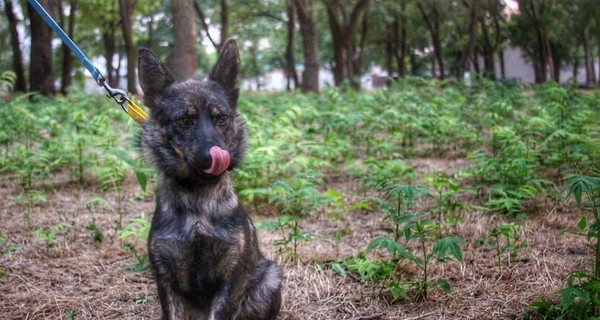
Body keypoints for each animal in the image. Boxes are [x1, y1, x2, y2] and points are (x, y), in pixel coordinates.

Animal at [138, 38, 284, 318]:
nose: (214, 156)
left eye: (222, 118)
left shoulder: (233, 275)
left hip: (269, 277)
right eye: (184, 120)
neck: (198, 198)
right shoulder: (165, 276)